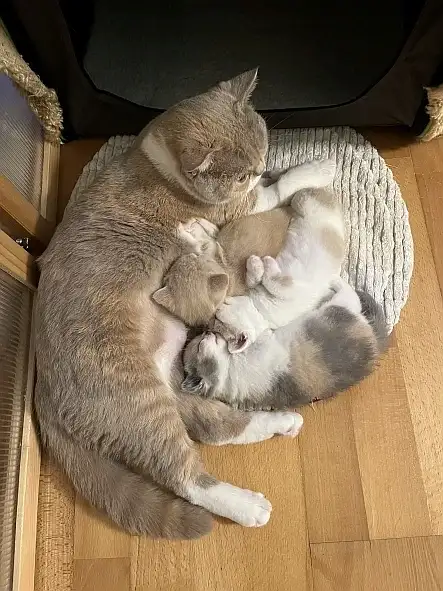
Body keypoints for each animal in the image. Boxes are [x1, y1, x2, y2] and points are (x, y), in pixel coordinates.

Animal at [35, 69, 335, 538]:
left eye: (263, 151)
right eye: (240, 176)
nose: (259, 169)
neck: (155, 159)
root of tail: (42, 393)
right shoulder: (244, 203)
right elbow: (282, 186)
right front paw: (317, 167)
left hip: (171, 385)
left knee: (214, 427)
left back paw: (280, 422)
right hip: (137, 401)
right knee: (183, 475)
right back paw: (248, 507)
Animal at [181, 279, 389, 410]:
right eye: (200, 345)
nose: (206, 332)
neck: (228, 374)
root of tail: (375, 344)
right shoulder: (262, 342)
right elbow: (256, 324)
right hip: (339, 308)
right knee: (348, 292)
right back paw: (334, 282)